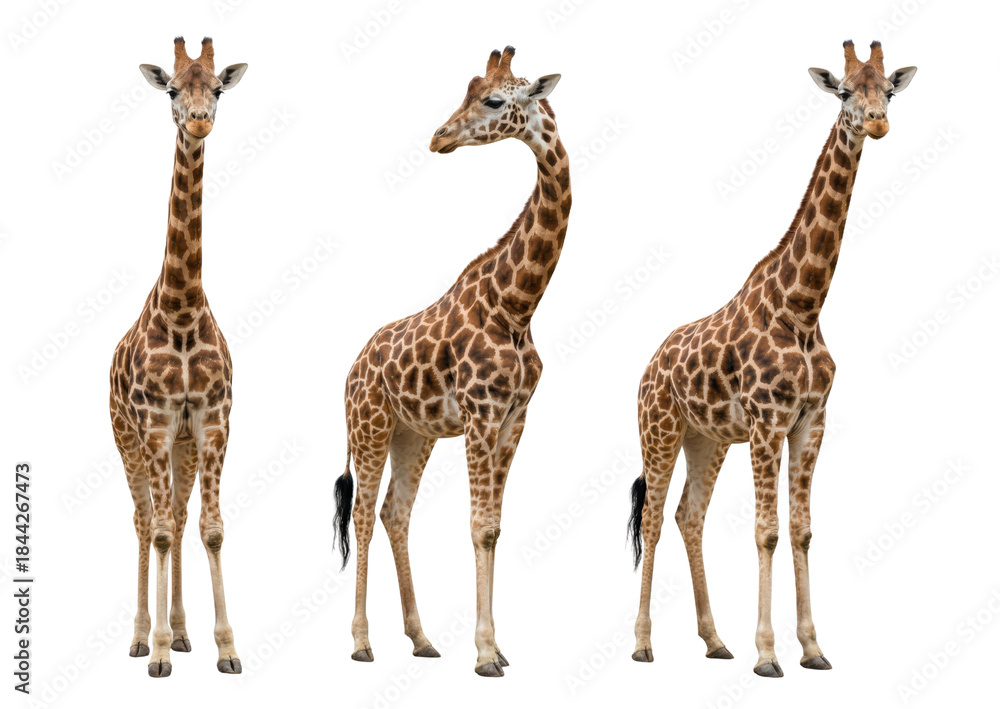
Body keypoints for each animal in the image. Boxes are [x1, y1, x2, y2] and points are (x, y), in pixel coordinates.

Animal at [333, 46, 569, 678]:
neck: (518, 304)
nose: (439, 137)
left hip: (413, 434)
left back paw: (421, 638)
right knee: (362, 513)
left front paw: (498, 648)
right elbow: (479, 527)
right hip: (369, 426)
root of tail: (351, 370)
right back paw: (361, 642)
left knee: (394, 512)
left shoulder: (514, 418)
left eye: (492, 99)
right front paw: (485, 653)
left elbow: (494, 527)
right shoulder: (482, 414)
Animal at [626, 41, 916, 677]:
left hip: (706, 439)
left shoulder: (810, 421)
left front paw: (812, 648)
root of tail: (649, 366)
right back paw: (643, 644)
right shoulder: (766, 422)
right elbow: (766, 532)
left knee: (688, 516)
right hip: (659, 430)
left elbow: (802, 530)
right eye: (844, 91)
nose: (878, 123)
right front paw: (767, 654)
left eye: (888, 89)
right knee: (654, 518)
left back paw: (714, 641)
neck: (803, 308)